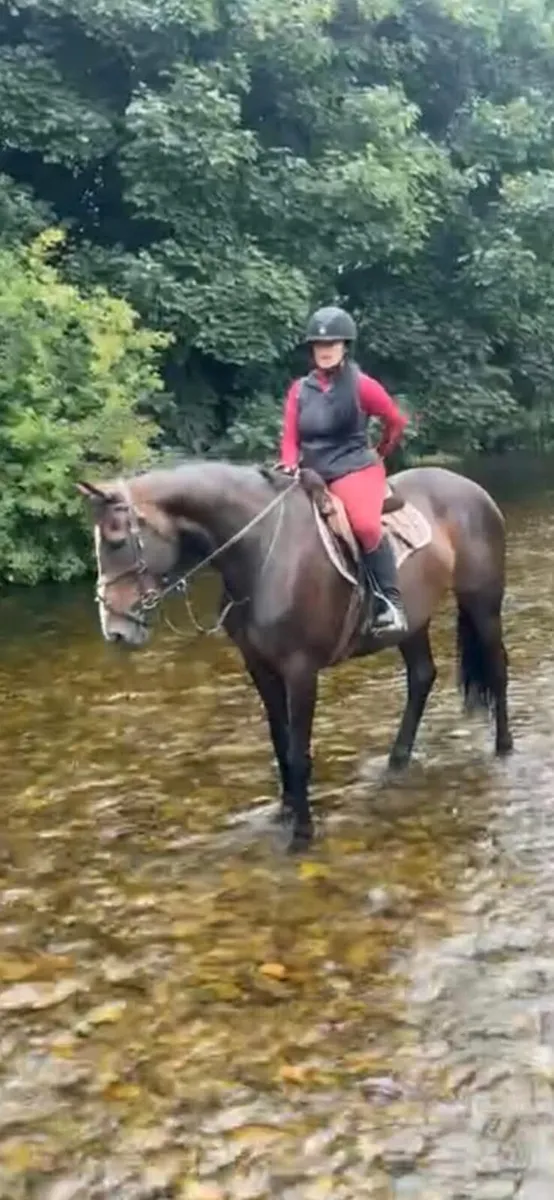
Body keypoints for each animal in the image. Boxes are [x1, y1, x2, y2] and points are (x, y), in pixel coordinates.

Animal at [78, 461, 512, 850]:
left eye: (116, 540)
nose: (114, 629)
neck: (260, 553)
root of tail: (468, 487)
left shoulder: (300, 669)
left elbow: (298, 750)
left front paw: (302, 833)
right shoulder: (259, 666)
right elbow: (279, 743)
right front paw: (285, 811)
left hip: (483, 603)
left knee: (497, 669)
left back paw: (503, 748)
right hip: (413, 623)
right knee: (422, 676)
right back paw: (397, 760)